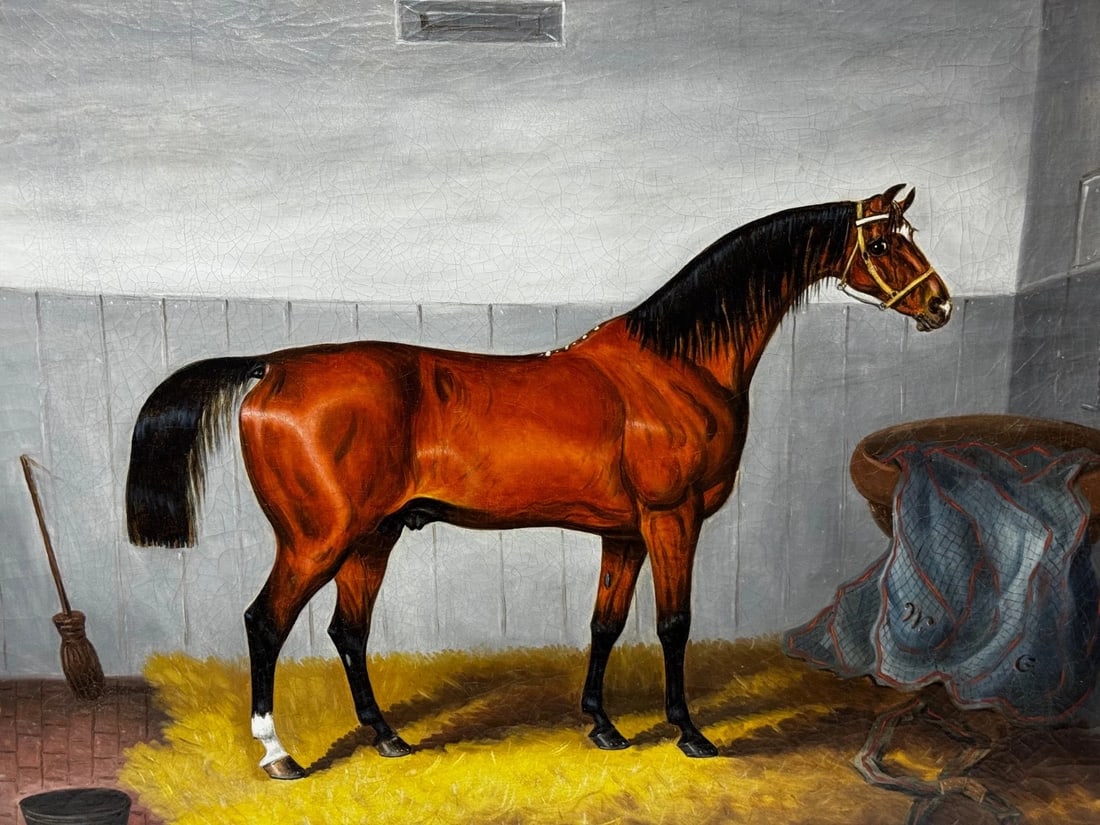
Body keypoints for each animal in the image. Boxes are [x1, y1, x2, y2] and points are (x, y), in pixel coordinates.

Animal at [125, 185, 952, 779]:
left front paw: (603, 724)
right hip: (316, 539)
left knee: (347, 632)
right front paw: (689, 732)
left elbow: (604, 624)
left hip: (372, 536)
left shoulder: (625, 533)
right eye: (883, 241)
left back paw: (389, 737)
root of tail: (273, 366)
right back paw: (279, 754)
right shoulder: (671, 518)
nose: (939, 303)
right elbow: (674, 624)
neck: (675, 364)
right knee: (266, 622)